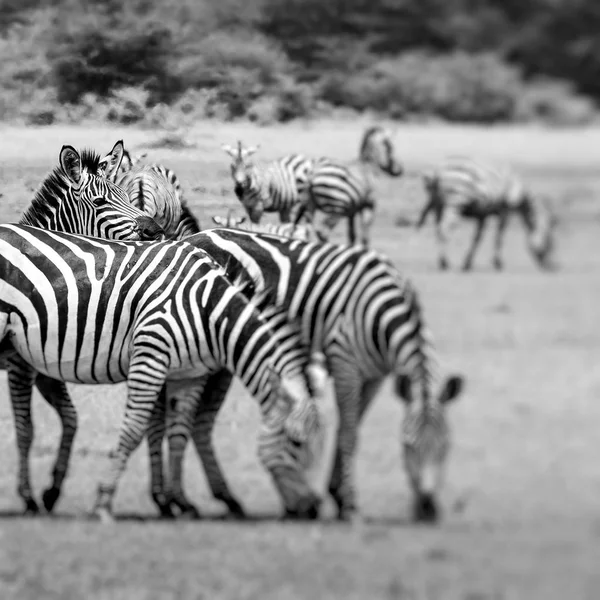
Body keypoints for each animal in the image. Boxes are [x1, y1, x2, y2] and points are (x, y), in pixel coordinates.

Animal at [2, 224, 324, 520]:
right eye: (297, 443)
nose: (313, 508)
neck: (206, 306)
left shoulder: (189, 374)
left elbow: (179, 432)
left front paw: (182, 502)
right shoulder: (151, 355)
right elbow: (133, 430)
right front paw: (104, 501)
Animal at [5, 142, 164, 516]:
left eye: (127, 195)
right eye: (100, 202)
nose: (154, 230)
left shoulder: (44, 361)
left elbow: (71, 418)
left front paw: (53, 489)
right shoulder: (21, 361)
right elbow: (26, 429)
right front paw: (29, 497)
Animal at [145, 232, 464, 524]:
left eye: (446, 448)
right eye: (408, 446)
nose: (427, 510)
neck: (380, 309)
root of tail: (195, 236)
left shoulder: (375, 376)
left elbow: (348, 428)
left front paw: (336, 494)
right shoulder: (344, 360)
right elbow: (349, 434)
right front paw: (349, 505)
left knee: (199, 422)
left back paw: (218, 499)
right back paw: (171, 501)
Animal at [418, 158, 556, 274]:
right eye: (550, 243)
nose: (553, 266)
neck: (518, 190)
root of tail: (437, 173)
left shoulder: (483, 214)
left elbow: (477, 239)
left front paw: (467, 263)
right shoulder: (505, 211)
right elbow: (499, 237)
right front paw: (498, 263)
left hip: (437, 205)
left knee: (438, 229)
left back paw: (443, 261)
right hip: (455, 201)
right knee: (444, 229)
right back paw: (444, 263)